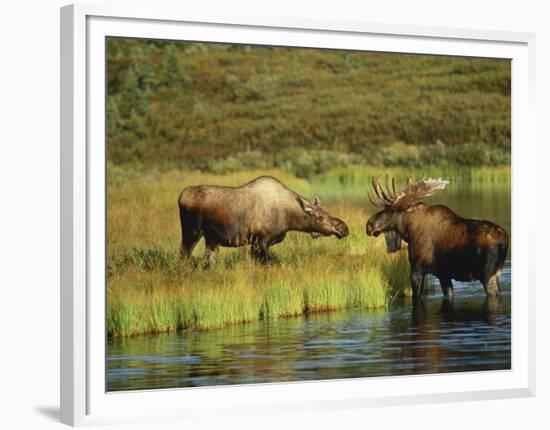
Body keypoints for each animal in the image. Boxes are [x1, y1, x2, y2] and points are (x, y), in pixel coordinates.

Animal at [178, 175, 350, 266]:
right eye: (320, 216)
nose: (343, 228)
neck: (289, 219)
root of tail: (180, 196)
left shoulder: (255, 244)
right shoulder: (261, 241)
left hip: (212, 240)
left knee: (206, 263)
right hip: (192, 232)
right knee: (183, 255)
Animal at [368, 176, 512, 300]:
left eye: (391, 210)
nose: (369, 225)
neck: (408, 232)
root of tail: (505, 240)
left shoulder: (417, 269)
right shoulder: (443, 274)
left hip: (488, 274)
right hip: (497, 271)